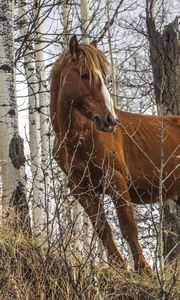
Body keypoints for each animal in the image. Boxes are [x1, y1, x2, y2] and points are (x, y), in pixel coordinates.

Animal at [50, 35, 180, 272]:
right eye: (84, 74)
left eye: (104, 76)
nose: (110, 120)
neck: (80, 137)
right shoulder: (82, 190)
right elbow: (103, 229)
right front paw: (119, 265)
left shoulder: (117, 180)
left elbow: (128, 227)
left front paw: (143, 269)